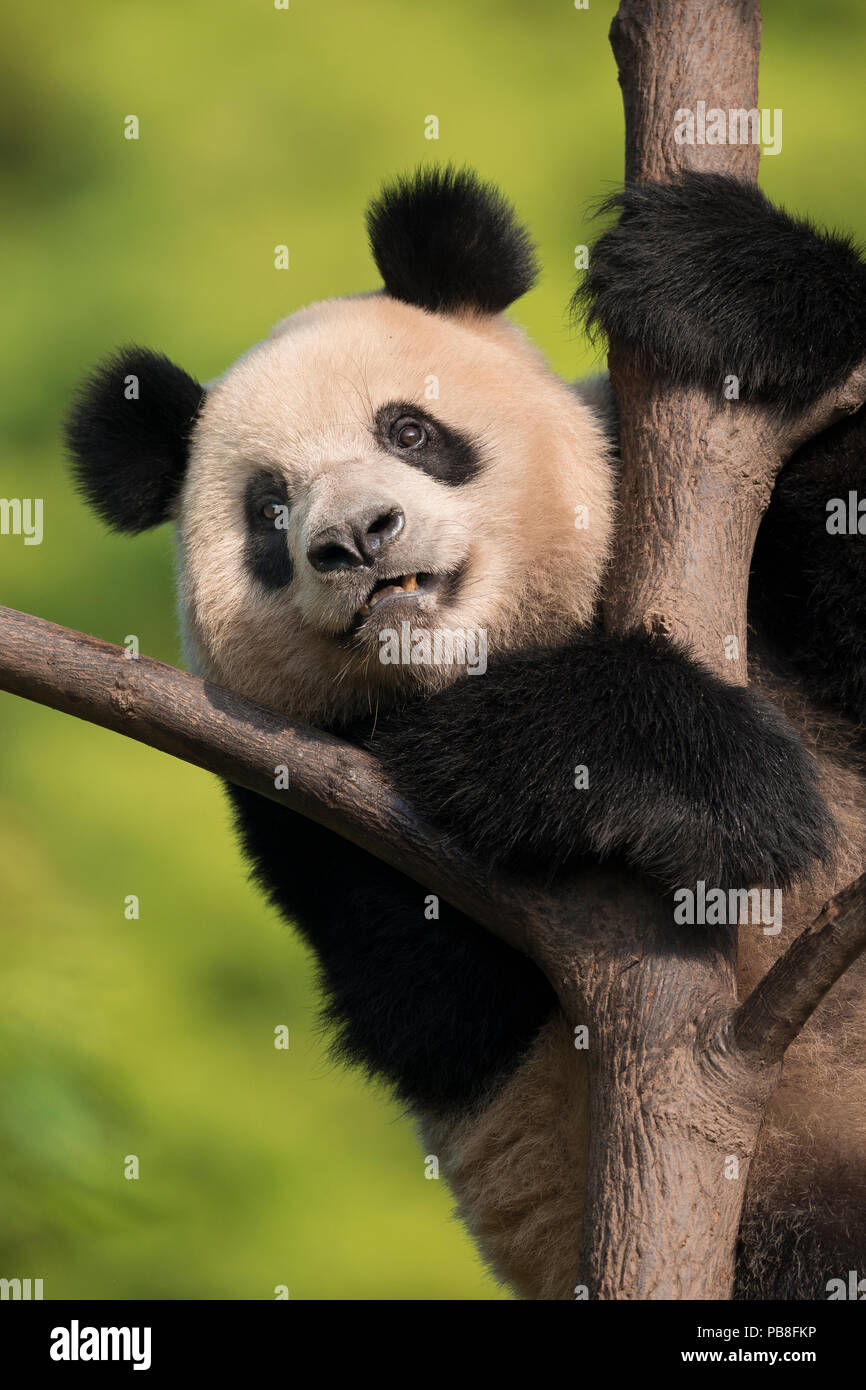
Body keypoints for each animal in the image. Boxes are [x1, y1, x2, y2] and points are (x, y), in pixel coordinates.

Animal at [64, 168, 866, 1295]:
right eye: (268, 508)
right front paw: (694, 774)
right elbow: (437, 992)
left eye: (408, 431)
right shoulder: (295, 789)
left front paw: (721, 278)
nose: (356, 540)